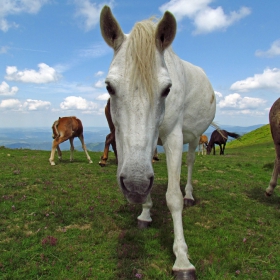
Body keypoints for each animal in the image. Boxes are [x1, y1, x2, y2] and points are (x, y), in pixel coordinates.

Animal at [99, 5, 215, 278]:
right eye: (109, 87)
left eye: (167, 89)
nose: (134, 185)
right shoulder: (138, 144)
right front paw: (145, 213)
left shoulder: (173, 137)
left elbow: (173, 197)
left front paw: (182, 259)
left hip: (193, 138)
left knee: (190, 163)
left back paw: (189, 195)